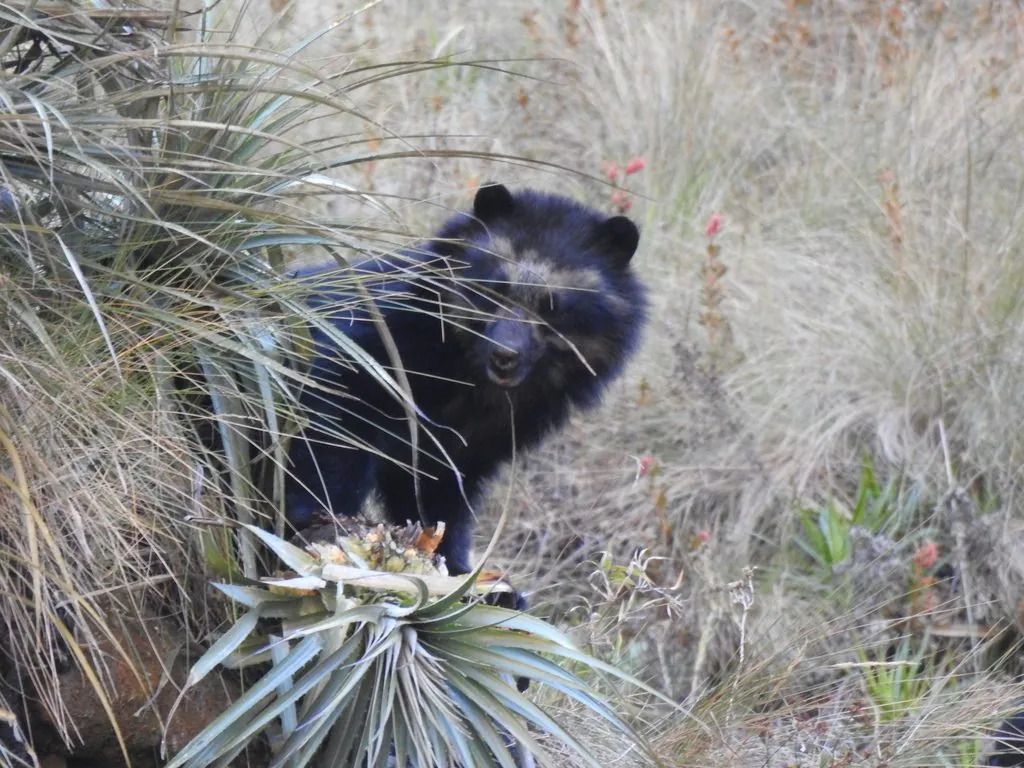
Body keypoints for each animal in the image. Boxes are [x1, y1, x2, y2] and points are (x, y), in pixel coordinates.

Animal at [283, 182, 648, 584]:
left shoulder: (480, 435)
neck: (467, 374)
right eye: (492, 289)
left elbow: (441, 489)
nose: (505, 356)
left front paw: (460, 571)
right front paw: (326, 524)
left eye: (553, 306)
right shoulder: (376, 340)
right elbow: (338, 414)